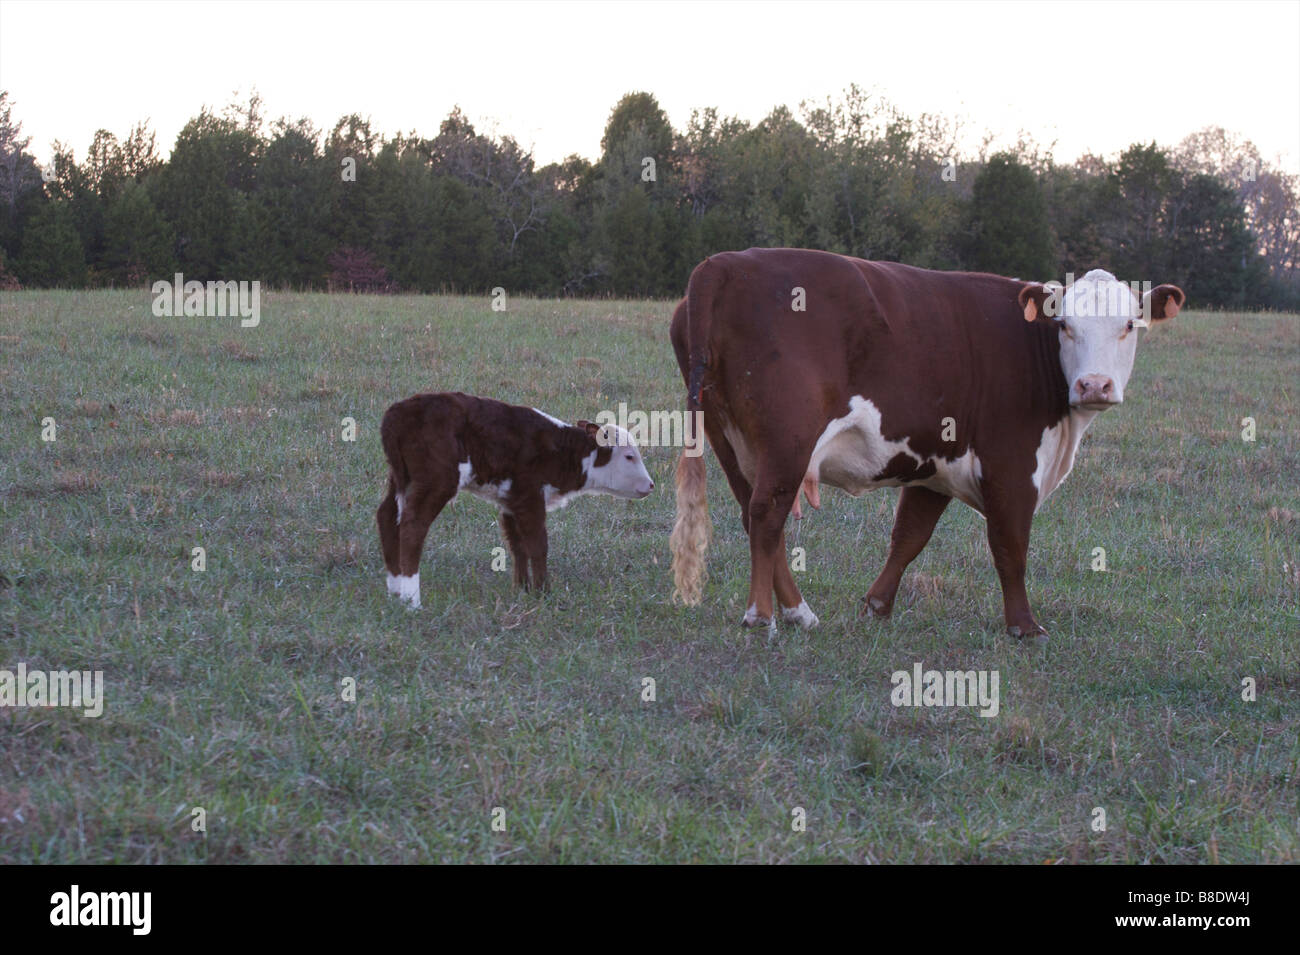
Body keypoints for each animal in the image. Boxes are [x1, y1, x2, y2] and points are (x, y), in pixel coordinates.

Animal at [378, 392, 654, 608]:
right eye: (629, 456)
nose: (651, 485)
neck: (563, 453)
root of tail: (398, 413)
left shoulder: (511, 501)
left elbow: (517, 545)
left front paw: (522, 589)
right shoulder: (530, 496)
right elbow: (538, 544)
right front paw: (543, 592)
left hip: (400, 477)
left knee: (387, 517)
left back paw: (395, 590)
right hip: (436, 480)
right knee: (413, 525)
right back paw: (412, 599)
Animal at [668, 249, 1184, 639]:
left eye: (1130, 325)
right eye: (1064, 326)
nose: (1094, 385)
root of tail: (723, 263)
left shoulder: (933, 464)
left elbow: (909, 537)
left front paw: (877, 605)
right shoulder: (1012, 464)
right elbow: (1010, 545)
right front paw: (1024, 626)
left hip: (731, 441)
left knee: (751, 512)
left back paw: (800, 613)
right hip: (788, 439)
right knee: (766, 514)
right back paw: (762, 616)